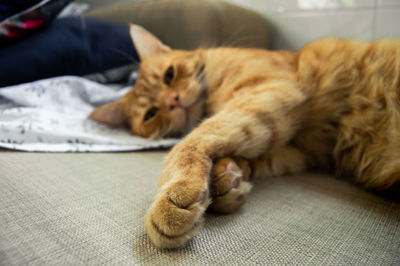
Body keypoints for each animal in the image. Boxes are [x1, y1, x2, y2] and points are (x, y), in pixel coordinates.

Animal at [90, 24, 400, 247]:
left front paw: (176, 191)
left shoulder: (269, 91)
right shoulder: (297, 152)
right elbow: (252, 155)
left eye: (169, 74)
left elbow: (192, 141)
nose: (174, 101)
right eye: (151, 113)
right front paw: (227, 179)